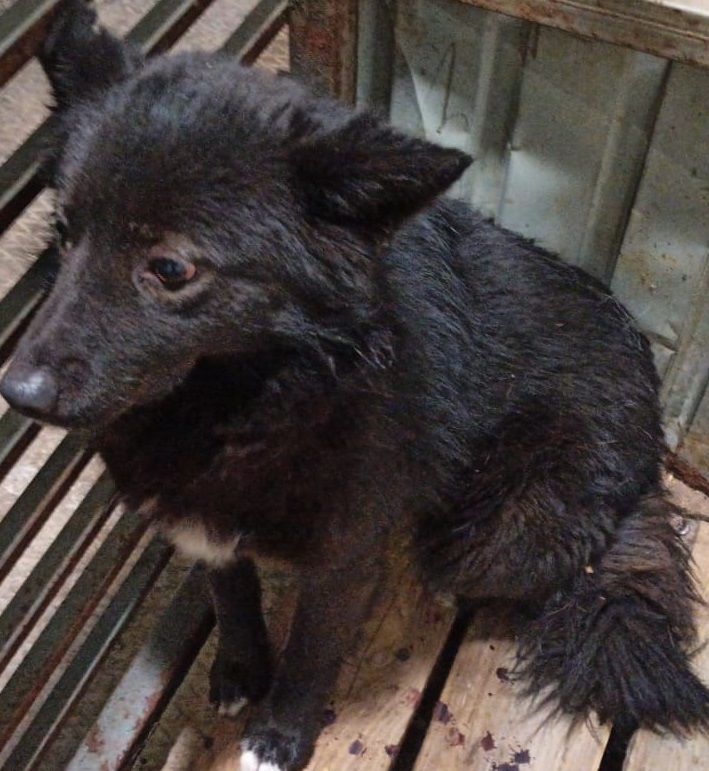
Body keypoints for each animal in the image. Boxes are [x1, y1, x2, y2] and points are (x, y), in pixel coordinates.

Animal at [1, 2, 707, 769]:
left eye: (170, 268)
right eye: (64, 232)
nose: (16, 392)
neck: (250, 400)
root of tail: (651, 449)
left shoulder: (343, 556)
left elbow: (311, 655)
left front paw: (278, 737)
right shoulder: (203, 527)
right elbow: (232, 597)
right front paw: (239, 672)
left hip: (499, 530)